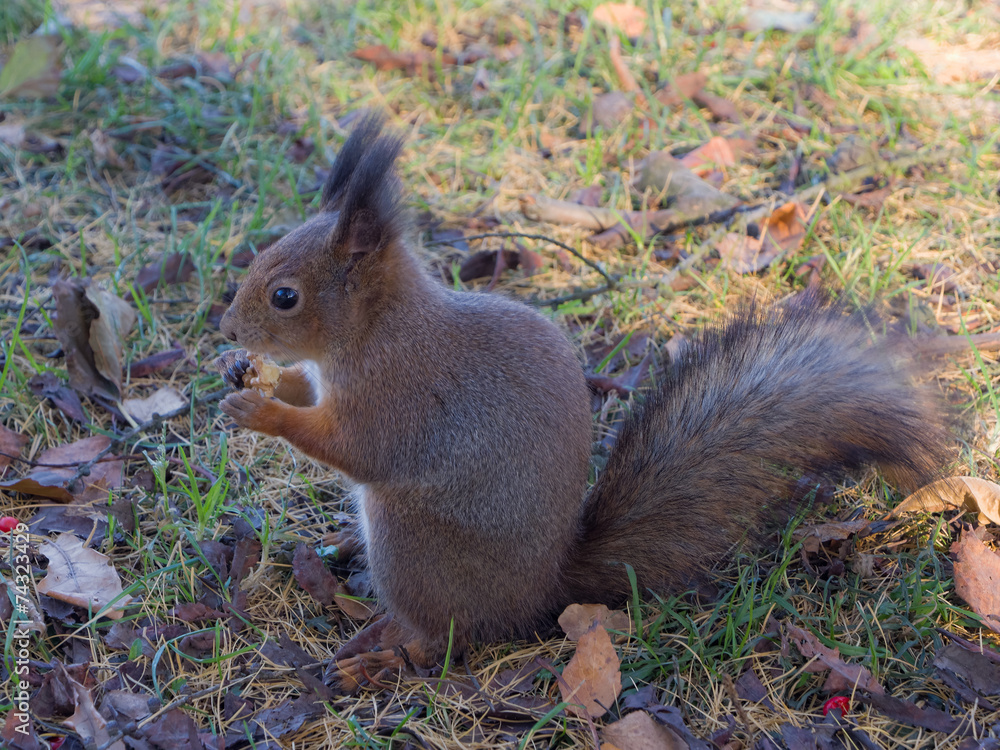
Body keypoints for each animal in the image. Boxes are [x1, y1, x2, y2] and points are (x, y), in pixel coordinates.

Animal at [215, 114, 949, 690]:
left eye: (285, 296)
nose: (226, 329)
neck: (376, 331)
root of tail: (542, 592)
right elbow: (305, 388)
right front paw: (249, 376)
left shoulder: (399, 397)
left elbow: (353, 448)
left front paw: (263, 412)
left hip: (414, 546)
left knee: (443, 636)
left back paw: (380, 652)